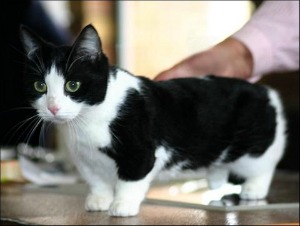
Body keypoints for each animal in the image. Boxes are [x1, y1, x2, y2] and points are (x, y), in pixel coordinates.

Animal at [19, 24, 288, 217]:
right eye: (40, 86)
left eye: (72, 85)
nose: (53, 107)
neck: (87, 120)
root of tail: (266, 91)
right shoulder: (84, 159)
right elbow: (97, 181)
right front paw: (99, 200)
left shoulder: (141, 152)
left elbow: (131, 179)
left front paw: (122, 204)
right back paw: (215, 177)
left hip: (255, 148)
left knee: (263, 165)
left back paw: (254, 189)